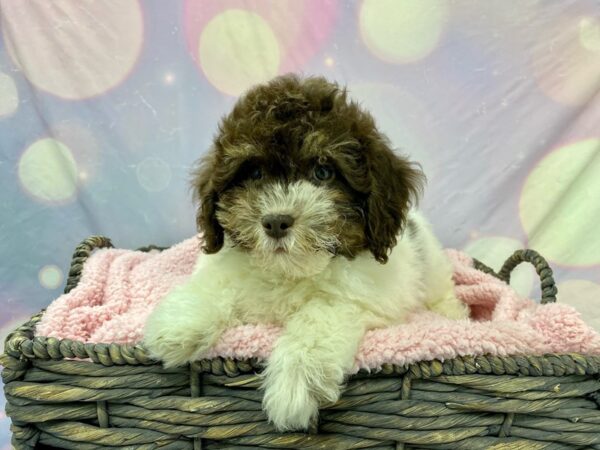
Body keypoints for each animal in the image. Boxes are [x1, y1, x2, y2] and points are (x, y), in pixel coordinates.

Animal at [144, 74, 468, 432]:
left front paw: (294, 385)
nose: (275, 221)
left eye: (323, 172)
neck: (288, 272)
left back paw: (454, 314)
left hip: (432, 266)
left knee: (441, 291)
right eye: (254, 174)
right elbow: (217, 286)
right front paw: (177, 327)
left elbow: (317, 319)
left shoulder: (359, 300)